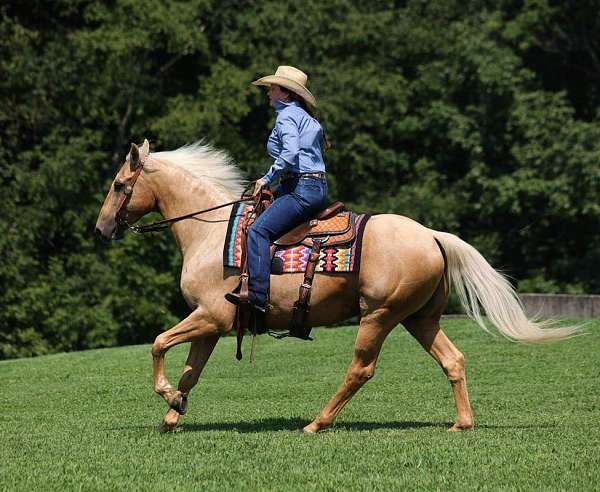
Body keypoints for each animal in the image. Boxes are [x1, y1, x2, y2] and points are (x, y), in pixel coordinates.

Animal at [95, 140, 580, 432]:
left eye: (119, 184)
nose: (100, 229)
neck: (210, 234)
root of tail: (431, 236)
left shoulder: (210, 316)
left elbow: (159, 343)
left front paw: (166, 397)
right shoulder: (214, 325)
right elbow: (190, 372)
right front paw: (173, 413)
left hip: (379, 316)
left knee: (360, 369)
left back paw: (317, 423)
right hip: (420, 318)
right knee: (453, 360)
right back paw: (462, 423)